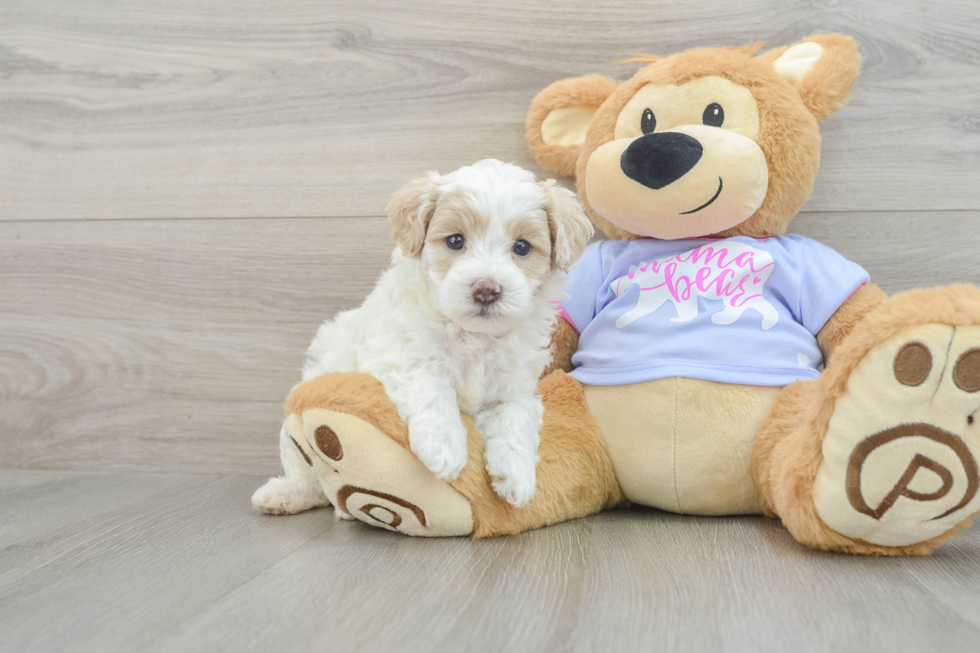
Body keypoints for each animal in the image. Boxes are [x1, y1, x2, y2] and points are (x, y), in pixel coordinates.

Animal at [253, 157, 588, 510]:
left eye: (522, 246)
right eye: (455, 240)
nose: (486, 289)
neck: (474, 335)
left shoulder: (514, 386)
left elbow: (515, 419)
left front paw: (517, 478)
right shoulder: (400, 352)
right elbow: (431, 384)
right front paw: (444, 446)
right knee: (310, 476)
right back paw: (283, 494)